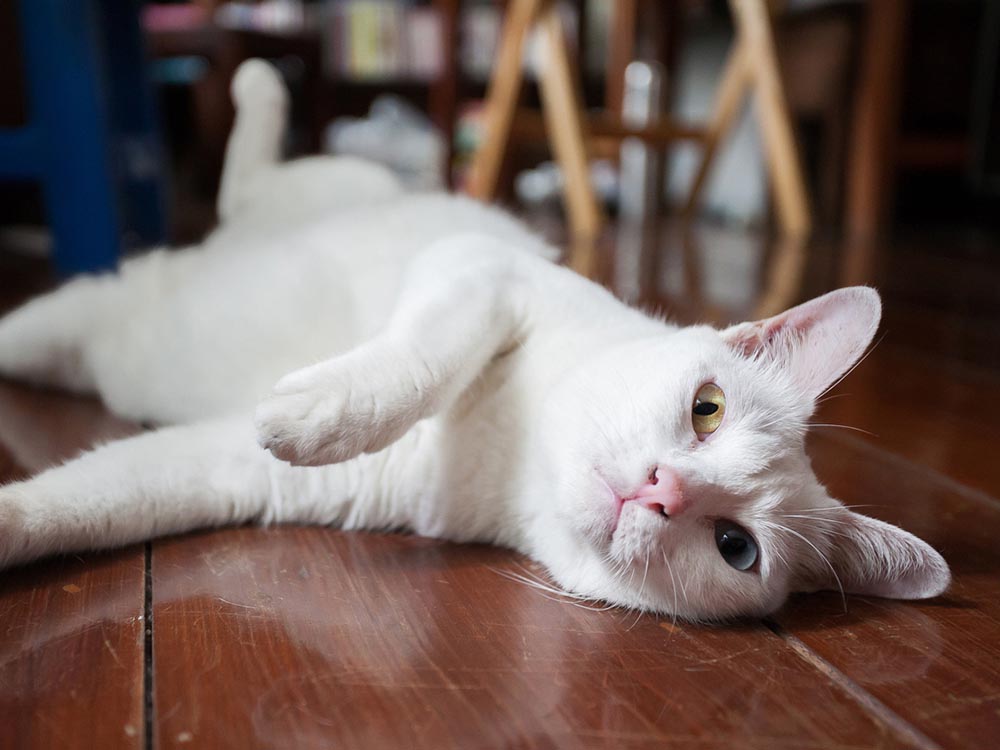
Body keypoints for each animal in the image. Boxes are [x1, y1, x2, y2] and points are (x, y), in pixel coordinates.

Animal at [0, 60, 948, 624]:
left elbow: (90, 500)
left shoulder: (235, 472)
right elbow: (424, 358)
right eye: (707, 409)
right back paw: (260, 83)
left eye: (735, 548)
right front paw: (318, 411)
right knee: (250, 179)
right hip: (340, 188)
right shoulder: (483, 272)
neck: (518, 457)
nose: (661, 490)